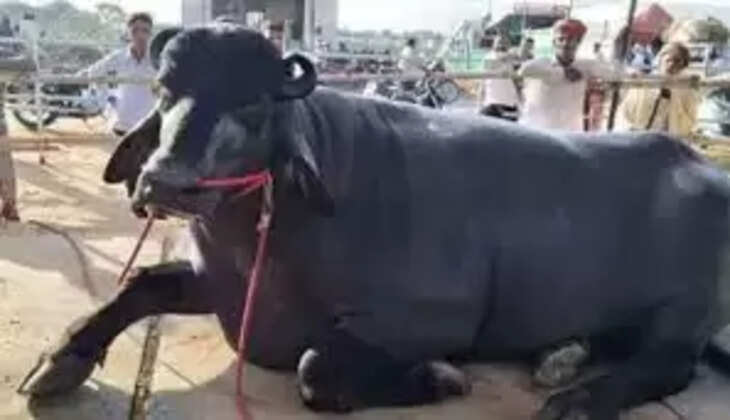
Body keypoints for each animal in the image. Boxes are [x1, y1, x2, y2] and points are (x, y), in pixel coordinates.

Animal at [24, 24, 730, 419]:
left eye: (254, 102)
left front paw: (440, 375)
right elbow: (138, 285)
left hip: (683, 315)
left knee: (671, 364)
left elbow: (313, 367)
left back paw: (576, 401)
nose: (166, 181)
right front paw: (59, 363)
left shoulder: (434, 316)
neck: (265, 242)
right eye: (166, 91)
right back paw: (562, 356)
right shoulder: (218, 285)